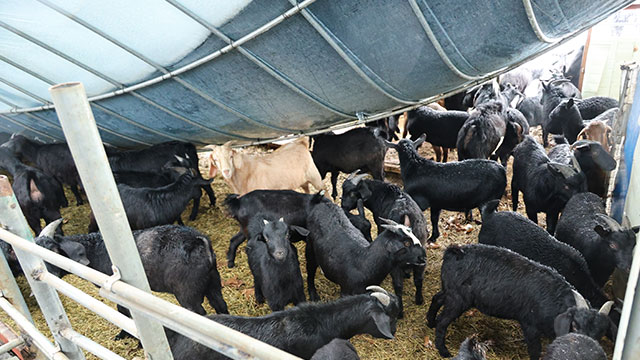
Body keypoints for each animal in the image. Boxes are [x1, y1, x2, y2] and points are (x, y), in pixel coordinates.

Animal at [35, 221, 228, 338]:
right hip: (213, 282)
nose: (48, 274)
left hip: (188, 293)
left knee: (200, 316)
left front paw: (123, 334)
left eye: (54, 250)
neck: (96, 249)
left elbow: (122, 310)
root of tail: (199, 240)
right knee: (221, 305)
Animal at [428, 243, 616, 360]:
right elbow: (535, 350)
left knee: (437, 298)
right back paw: (443, 350)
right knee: (443, 321)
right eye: (575, 326)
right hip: (458, 299)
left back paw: (430, 322)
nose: (584, 346)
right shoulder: (530, 325)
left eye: (601, 332)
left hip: (451, 291)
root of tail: (455, 251)